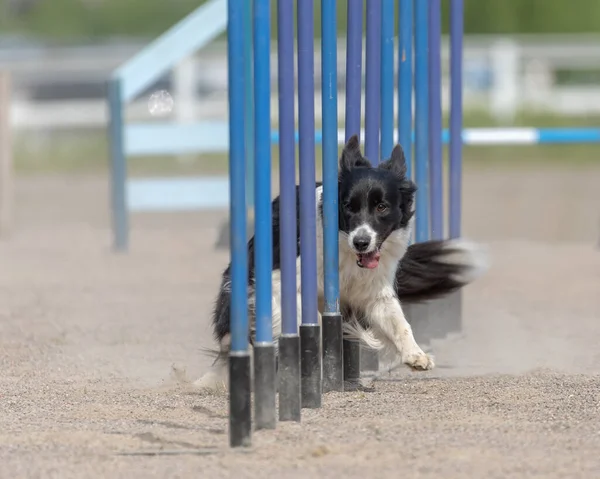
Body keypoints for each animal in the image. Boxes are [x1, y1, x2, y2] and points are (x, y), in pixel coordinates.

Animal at [197, 135, 488, 390]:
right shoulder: (281, 281)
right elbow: (302, 319)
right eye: (348, 206)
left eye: (382, 206)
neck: (345, 250)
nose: (361, 242)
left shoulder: (375, 291)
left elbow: (399, 322)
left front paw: (415, 355)